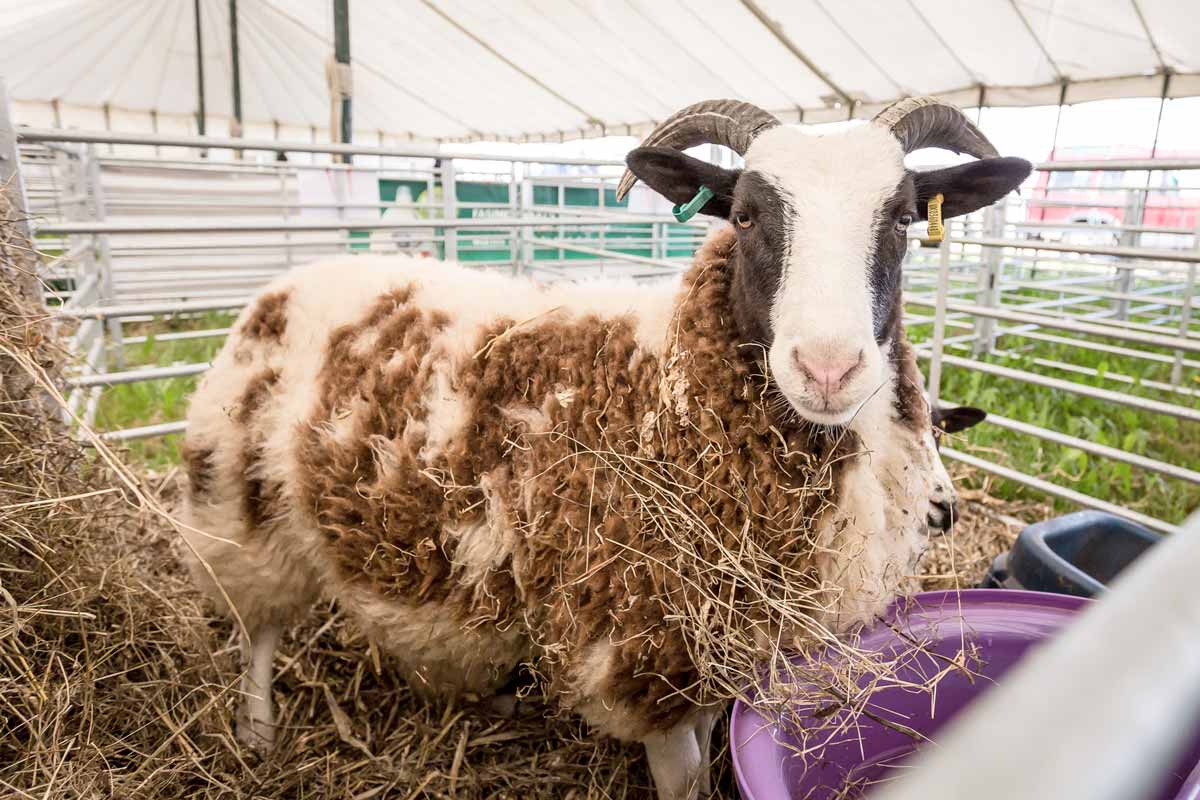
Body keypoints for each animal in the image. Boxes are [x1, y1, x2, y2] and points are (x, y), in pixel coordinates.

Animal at [180, 97, 1032, 796]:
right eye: (745, 215)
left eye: (903, 219)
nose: (828, 367)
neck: (667, 386)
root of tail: (290, 279)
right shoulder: (640, 650)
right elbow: (685, 779)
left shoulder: (722, 647)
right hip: (242, 506)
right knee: (258, 630)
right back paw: (256, 732)